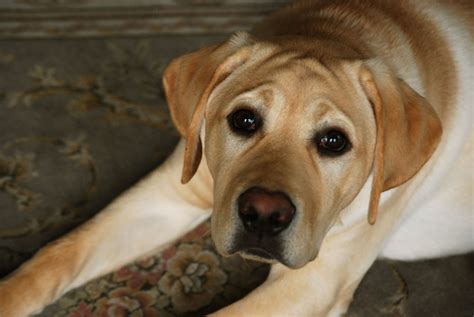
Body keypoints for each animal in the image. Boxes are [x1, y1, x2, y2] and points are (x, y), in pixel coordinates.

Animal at [0, 0, 474, 314]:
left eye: (334, 142)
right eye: (244, 120)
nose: (263, 214)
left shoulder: (314, 282)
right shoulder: (167, 194)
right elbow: (58, 254)